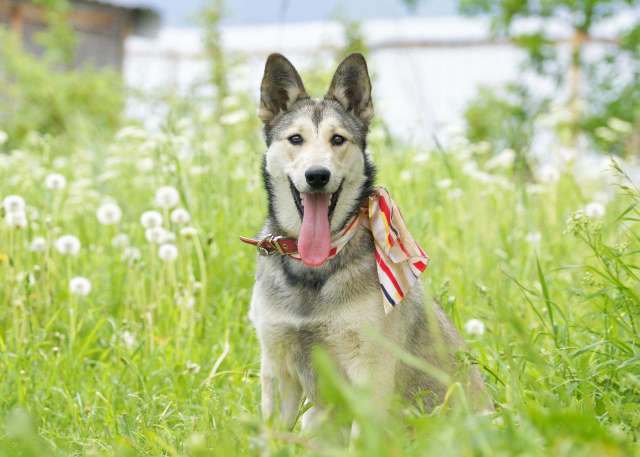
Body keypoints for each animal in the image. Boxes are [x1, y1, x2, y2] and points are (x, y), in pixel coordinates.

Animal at [245, 53, 490, 432]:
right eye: (296, 139)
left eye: (338, 139)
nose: (318, 175)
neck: (313, 270)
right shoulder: (278, 370)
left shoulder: (368, 375)